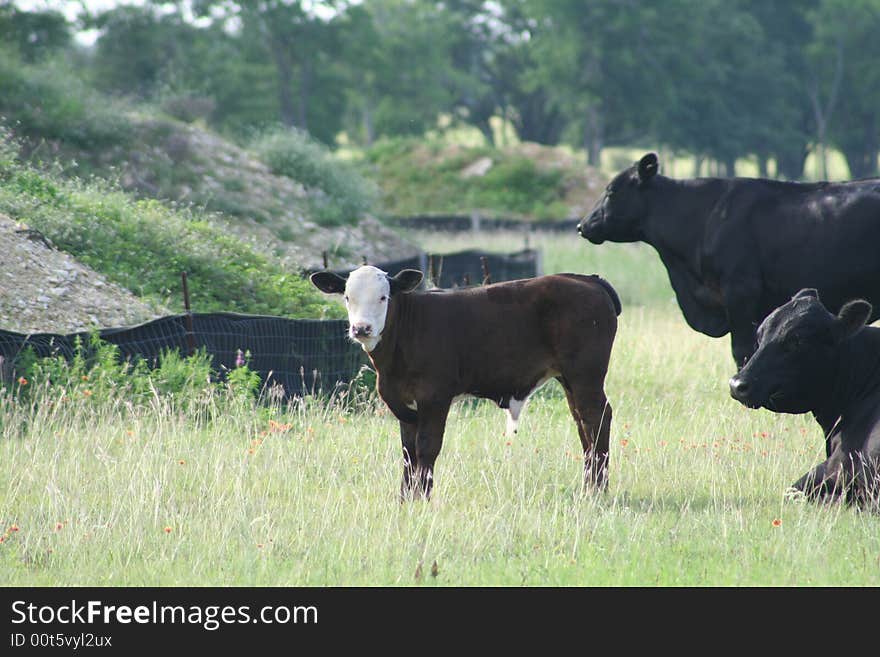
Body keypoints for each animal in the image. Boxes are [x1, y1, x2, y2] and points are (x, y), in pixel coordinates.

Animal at [310, 264, 620, 500]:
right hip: (569, 379)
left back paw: (598, 490)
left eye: (383, 297)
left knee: (597, 418)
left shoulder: (434, 397)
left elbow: (427, 447)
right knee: (583, 423)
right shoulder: (403, 404)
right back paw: (589, 486)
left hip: (586, 374)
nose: (361, 328)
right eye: (347, 297)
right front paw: (405, 499)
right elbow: (408, 452)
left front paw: (423, 498)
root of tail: (587, 279)